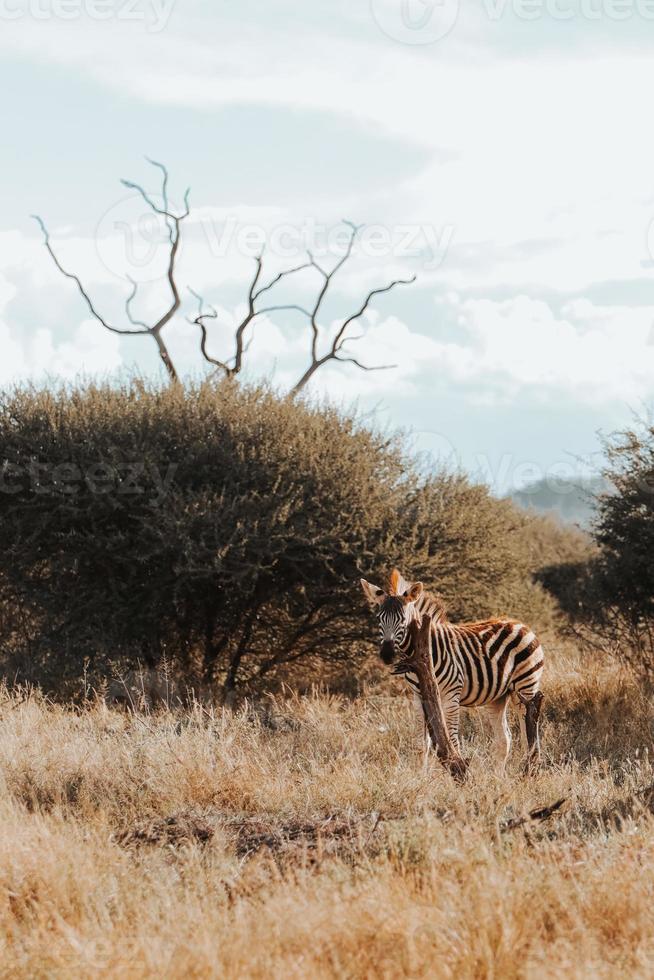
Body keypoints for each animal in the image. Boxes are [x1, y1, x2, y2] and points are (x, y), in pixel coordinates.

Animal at [362, 568, 544, 772]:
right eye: (379, 619)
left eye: (402, 619)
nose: (387, 654)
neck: (424, 650)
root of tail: (521, 624)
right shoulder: (418, 698)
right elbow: (421, 744)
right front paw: (420, 775)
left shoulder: (451, 695)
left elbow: (452, 740)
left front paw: (456, 769)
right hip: (498, 697)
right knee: (504, 740)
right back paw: (499, 777)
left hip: (526, 687)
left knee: (528, 732)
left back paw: (528, 767)